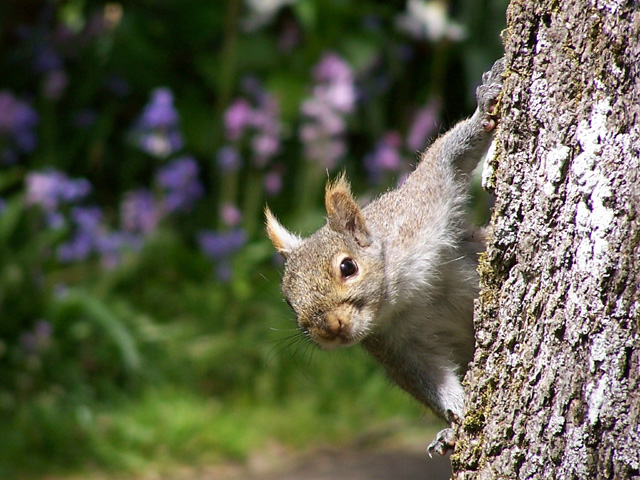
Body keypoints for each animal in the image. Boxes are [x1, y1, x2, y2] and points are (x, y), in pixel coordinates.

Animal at [264, 58, 504, 456]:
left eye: (348, 267)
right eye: (287, 299)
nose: (329, 329)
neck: (402, 295)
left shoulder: (420, 209)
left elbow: (447, 157)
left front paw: (483, 106)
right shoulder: (396, 346)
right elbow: (428, 378)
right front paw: (454, 417)